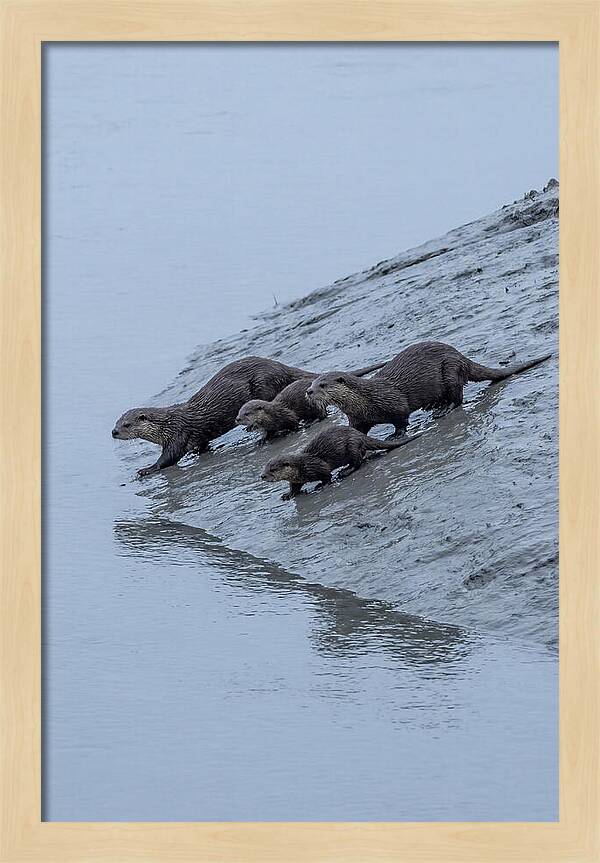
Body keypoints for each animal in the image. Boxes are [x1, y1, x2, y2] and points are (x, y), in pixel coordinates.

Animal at [235, 362, 384, 440]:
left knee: (322, 414)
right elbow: (268, 432)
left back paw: (312, 421)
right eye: (239, 412)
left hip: (315, 404)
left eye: (246, 413)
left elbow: (293, 422)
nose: (237, 419)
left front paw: (293, 430)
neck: (272, 415)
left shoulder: (287, 414)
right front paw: (263, 439)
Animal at [260, 426, 422, 499]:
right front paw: (288, 495)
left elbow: (327, 476)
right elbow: (294, 488)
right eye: (265, 467)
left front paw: (320, 486)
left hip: (352, 446)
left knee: (358, 462)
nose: (262, 476)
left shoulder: (318, 466)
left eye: (273, 469)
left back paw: (345, 471)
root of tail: (359, 435)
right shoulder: (296, 480)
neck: (301, 467)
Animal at [307, 341, 552, 436]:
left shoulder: (393, 402)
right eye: (311, 384)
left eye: (322, 384)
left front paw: (396, 435)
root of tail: (461, 356)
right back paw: (435, 406)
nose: (308, 392)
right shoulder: (358, 419)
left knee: (458, 396)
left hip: (450, 370)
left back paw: (444, 409)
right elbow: (357, 432)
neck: (365, 400)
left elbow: (401, 418)